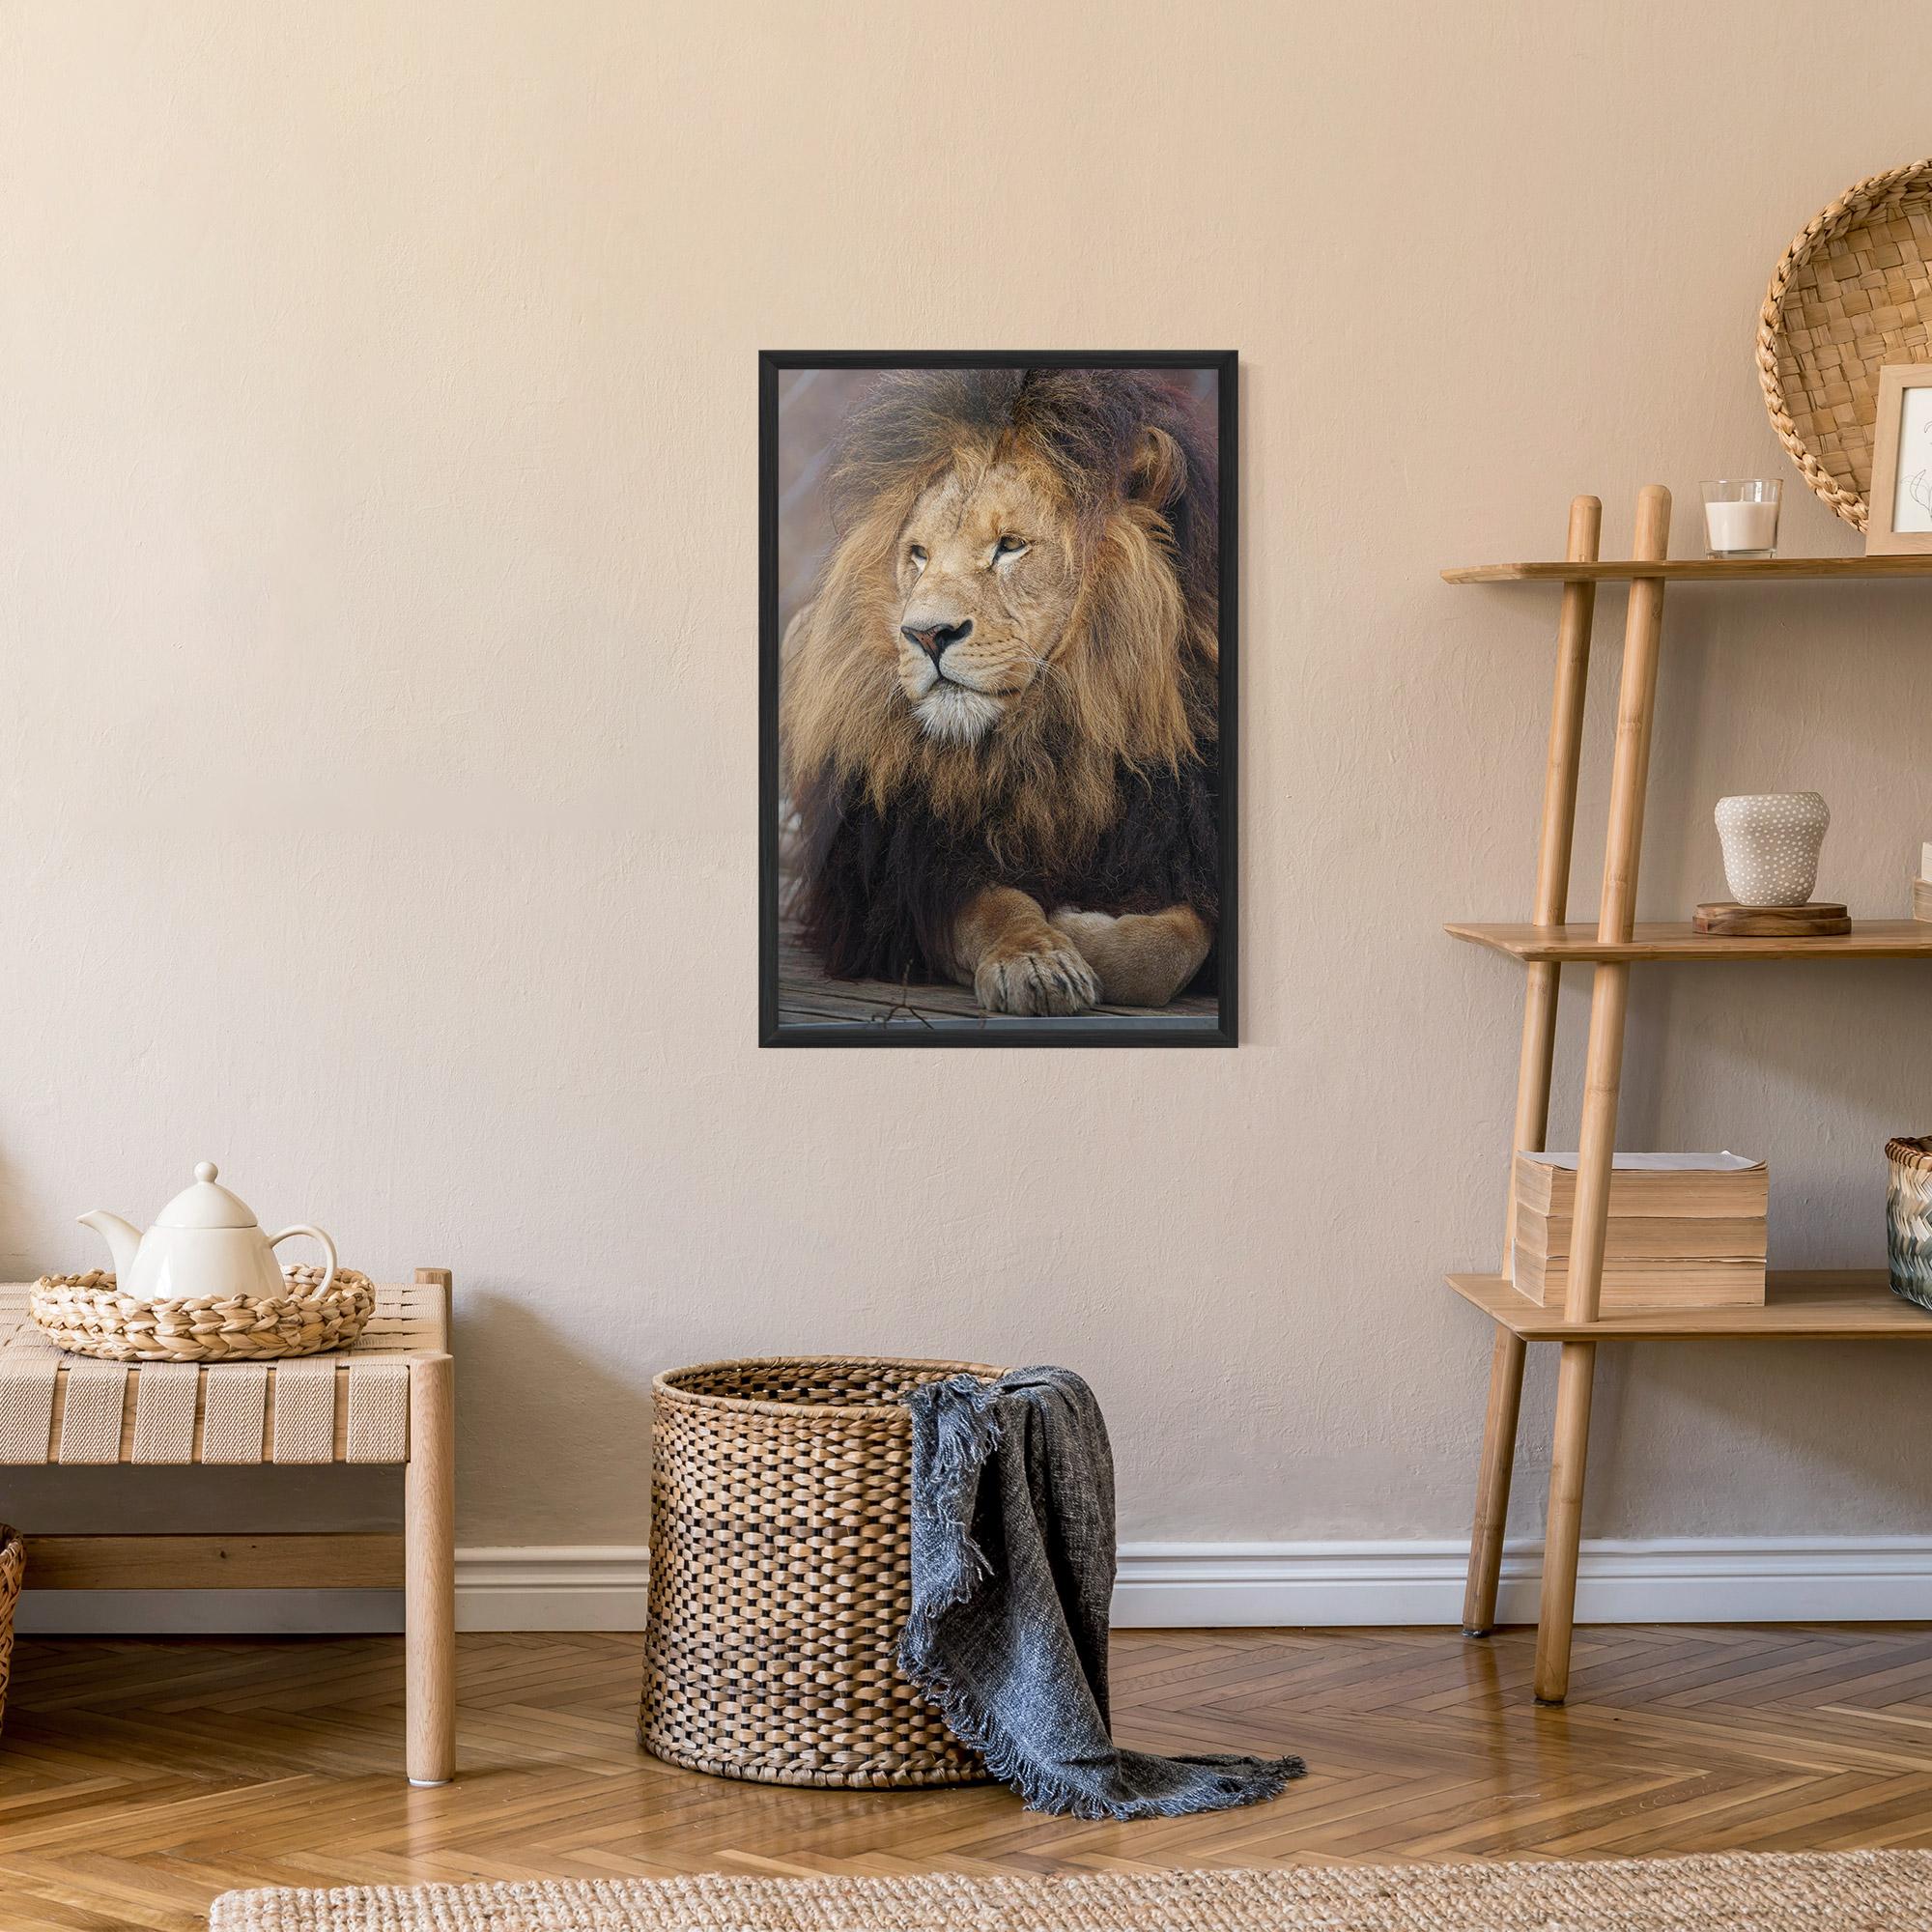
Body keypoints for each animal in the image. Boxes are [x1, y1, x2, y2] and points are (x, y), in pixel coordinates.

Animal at [780, 367, 1220, 1017]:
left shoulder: (1183, 847)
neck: (1049, 745)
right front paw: (1038, 957)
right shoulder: (904, 876)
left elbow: (1169, 949)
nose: (925, 633)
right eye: (918, 555)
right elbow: (993, 908)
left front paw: (1081, 922)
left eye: (1010, 545)